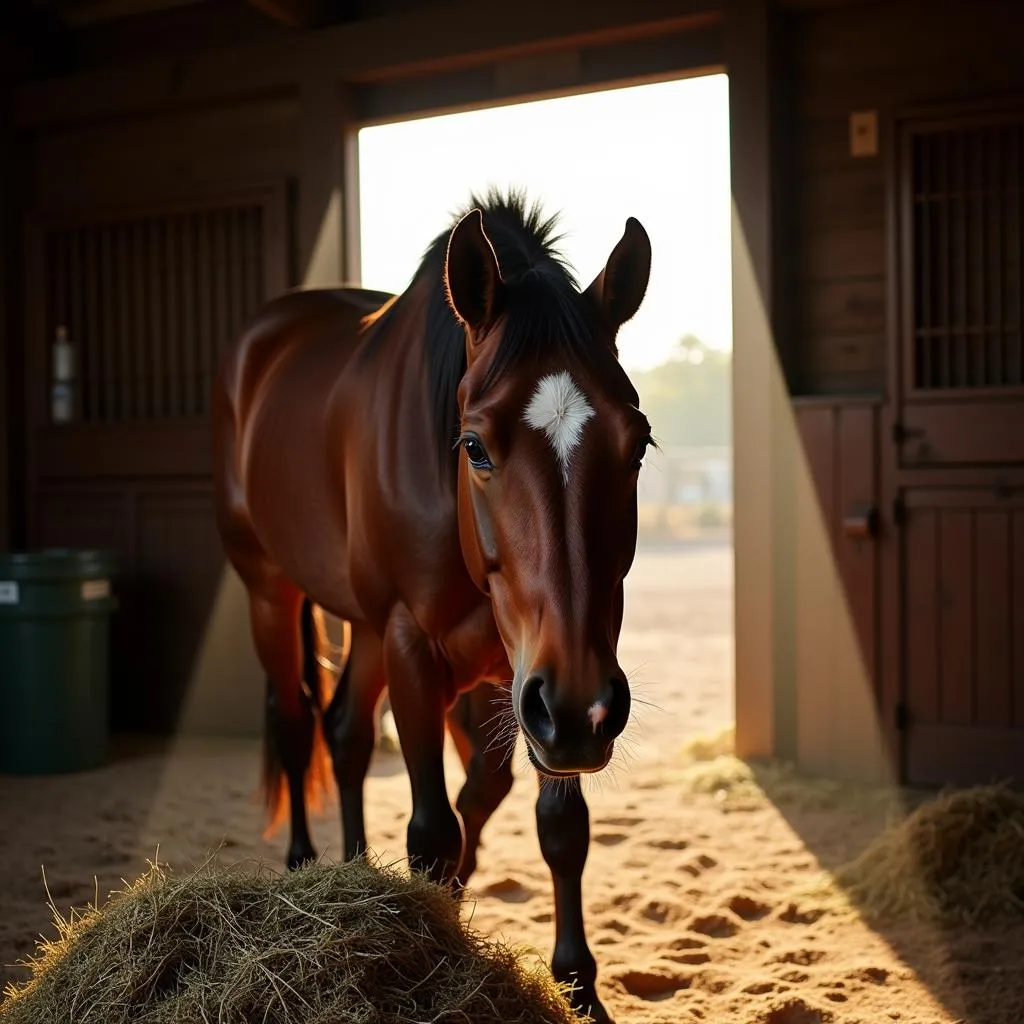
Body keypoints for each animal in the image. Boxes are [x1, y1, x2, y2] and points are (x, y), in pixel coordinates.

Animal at [211, 188, 651, 1019]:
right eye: (473, 445)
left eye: (637, 443)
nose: (582, 707)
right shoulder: (423, 651)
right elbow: (432, 829)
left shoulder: (542, 677)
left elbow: (549, 821)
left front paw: (577, 986)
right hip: (272, 593)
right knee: (297, 724)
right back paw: (304, 869)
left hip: (370, 628)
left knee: (346, 731)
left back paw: (354, 876)